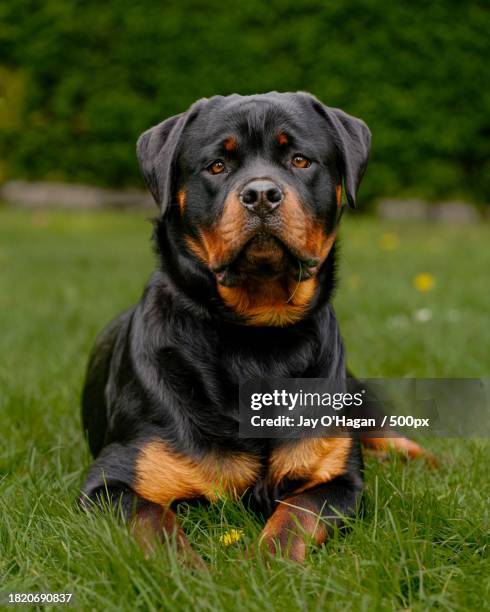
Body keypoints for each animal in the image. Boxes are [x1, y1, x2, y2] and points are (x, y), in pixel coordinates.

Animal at [80, 92, 428, 564]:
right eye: (216, 166)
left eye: (300, 160)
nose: (261, 193)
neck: (256, 338)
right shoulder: (112, 480)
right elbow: (154, 521)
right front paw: (185, 571)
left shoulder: (337, 478)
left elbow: (296, 514)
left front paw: (268, 564)